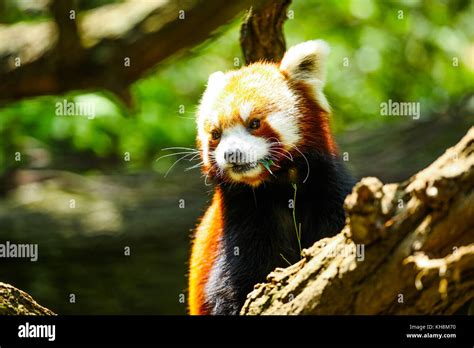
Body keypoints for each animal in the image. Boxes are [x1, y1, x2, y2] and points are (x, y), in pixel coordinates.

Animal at [187, 39, 354, 314]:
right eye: (216, 134)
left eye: (254, 123)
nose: (231, 154)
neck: (278, 184)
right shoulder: (242, 217)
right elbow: (229, 287)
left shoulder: (329, 189)